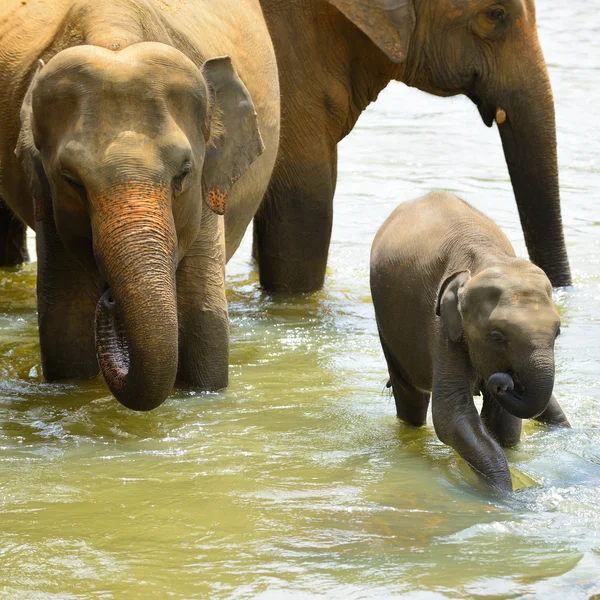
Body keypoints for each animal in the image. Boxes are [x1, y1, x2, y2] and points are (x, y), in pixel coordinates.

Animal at [0, 0, 280, 408]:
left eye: (183, 172)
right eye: (70, 179)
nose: (110, 298)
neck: (118, 40)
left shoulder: (205, 193)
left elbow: (205, 319)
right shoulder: (46, 198)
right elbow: (64, 323)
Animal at [370, 192, 572, 492]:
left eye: (557, 333)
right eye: (497, 336)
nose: (502, 381)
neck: (485, 261)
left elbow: (502, 421)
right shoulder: (443, 328)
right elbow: (450, 414)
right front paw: (505, 493)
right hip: (387, 326)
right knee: (410, 397)